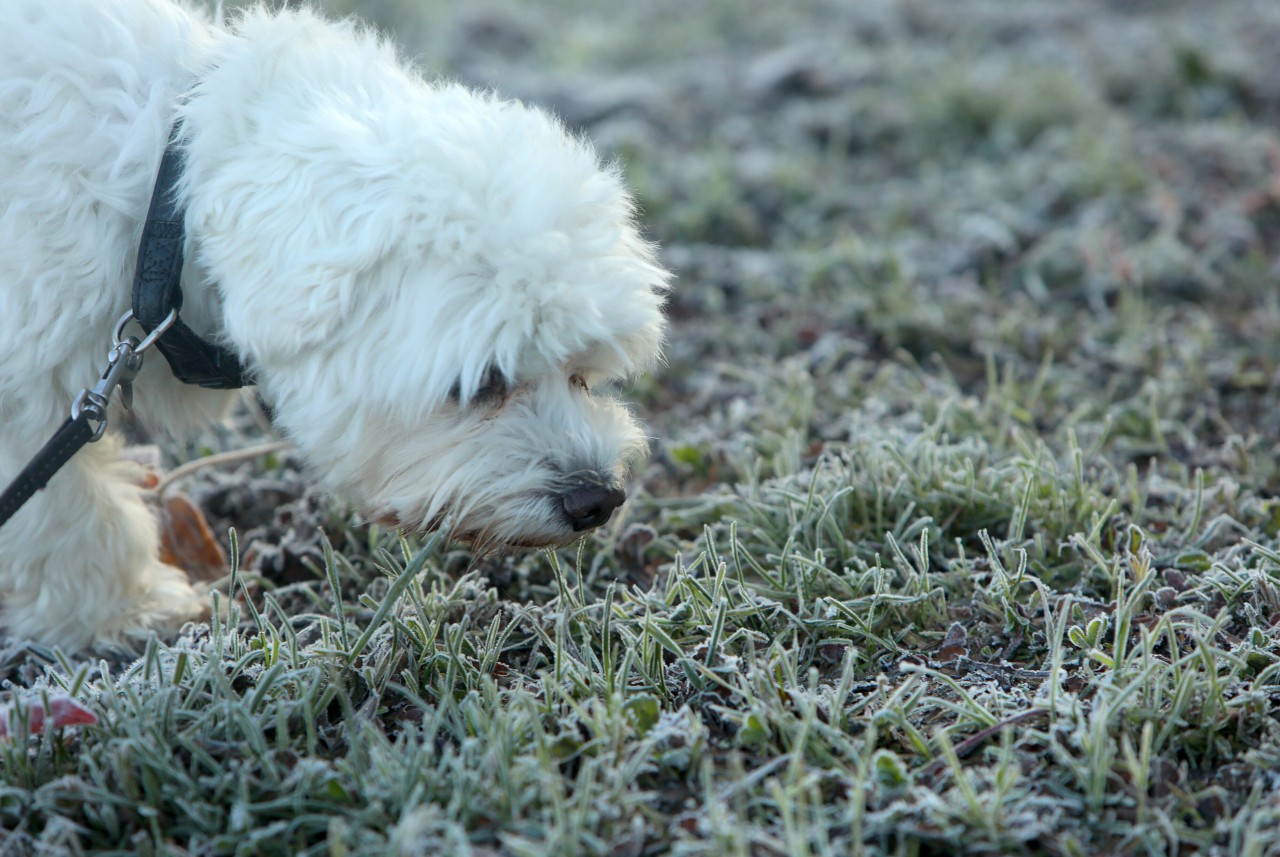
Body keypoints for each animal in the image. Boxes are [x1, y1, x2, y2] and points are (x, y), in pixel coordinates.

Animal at [0, 0, 665, 652]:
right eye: (481, 384)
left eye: (581, 374)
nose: (597, 500)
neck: (162, 193)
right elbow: (68, 509)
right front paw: (122, 612)